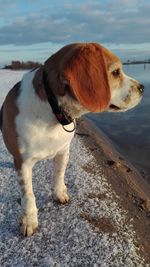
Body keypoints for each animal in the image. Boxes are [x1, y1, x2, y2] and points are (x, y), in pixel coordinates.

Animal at [0, 42, 144, 237]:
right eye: (115, 72)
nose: (143, 88)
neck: (52, 111)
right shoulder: (23, 163)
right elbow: (28, 195)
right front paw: (29, 220)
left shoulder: (63, 151)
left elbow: (59, 175)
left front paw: (59, 193)